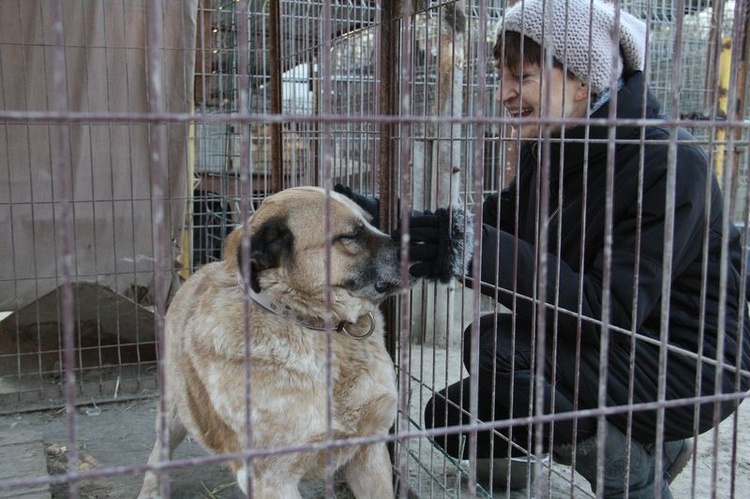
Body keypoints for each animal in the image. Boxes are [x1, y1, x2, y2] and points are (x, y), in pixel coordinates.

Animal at [135, 186, 406, 498]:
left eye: (372, 222)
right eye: (351, 236)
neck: (312, 324)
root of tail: (198, 272)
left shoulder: (369, 449)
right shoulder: (273, 479)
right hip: (172, 413)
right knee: (159, 452)